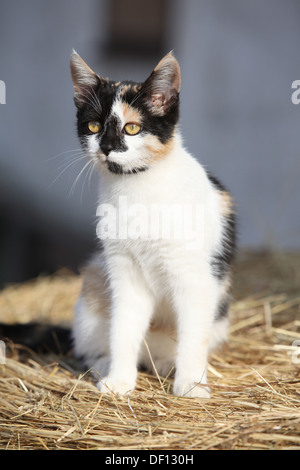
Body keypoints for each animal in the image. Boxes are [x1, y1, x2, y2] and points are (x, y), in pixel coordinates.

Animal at [70, 50, 237, 396]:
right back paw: (105, 363)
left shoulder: (195, 277)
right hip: (91, 293)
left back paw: (167, 365)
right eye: (93, 125)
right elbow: (123, 327)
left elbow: (193, 336)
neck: (136, 188)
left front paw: (191, 385)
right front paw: (119, 381)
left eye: (132, 128)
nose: (107, 147)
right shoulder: (123, 271)